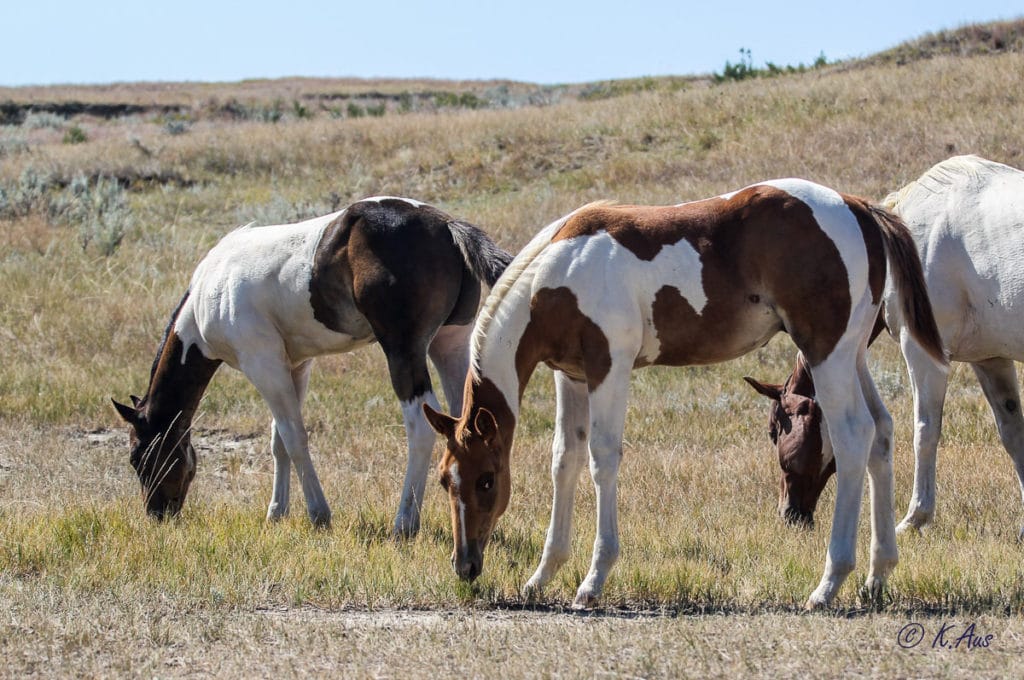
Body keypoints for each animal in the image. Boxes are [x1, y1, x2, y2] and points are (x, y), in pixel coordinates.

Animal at [114, 195, 512, 536]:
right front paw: (277, 511)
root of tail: (445, 225)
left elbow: (294, 437)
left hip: (404, 353)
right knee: (463, 422)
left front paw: (318, 514)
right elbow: (278, 439)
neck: (210, 291)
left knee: (420, 426)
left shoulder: (263, 364)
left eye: (138, 457)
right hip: (450, 343)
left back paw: (404, 523)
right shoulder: (295, 365)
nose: (157, 513)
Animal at [421, 178, 942, 606]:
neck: (556, 274)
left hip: (826, 352)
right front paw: (541, 577)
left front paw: (593, 581)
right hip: (851, 355)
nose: (466, 566)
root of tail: (857, 207)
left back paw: (829, 583)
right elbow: (564, 459)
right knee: (881, 433)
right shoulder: (570, 376)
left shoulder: (610, 366)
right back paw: (877, 576)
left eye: (487, 479)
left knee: (853, 437)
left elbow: (602, 458)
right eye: (446, 480)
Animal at [745, 155, 1024, 536]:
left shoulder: (922, 353)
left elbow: (925, 430)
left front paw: (915, 518)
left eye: (774, 431)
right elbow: (1013, 433)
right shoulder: (990, 359)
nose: (789, 514)